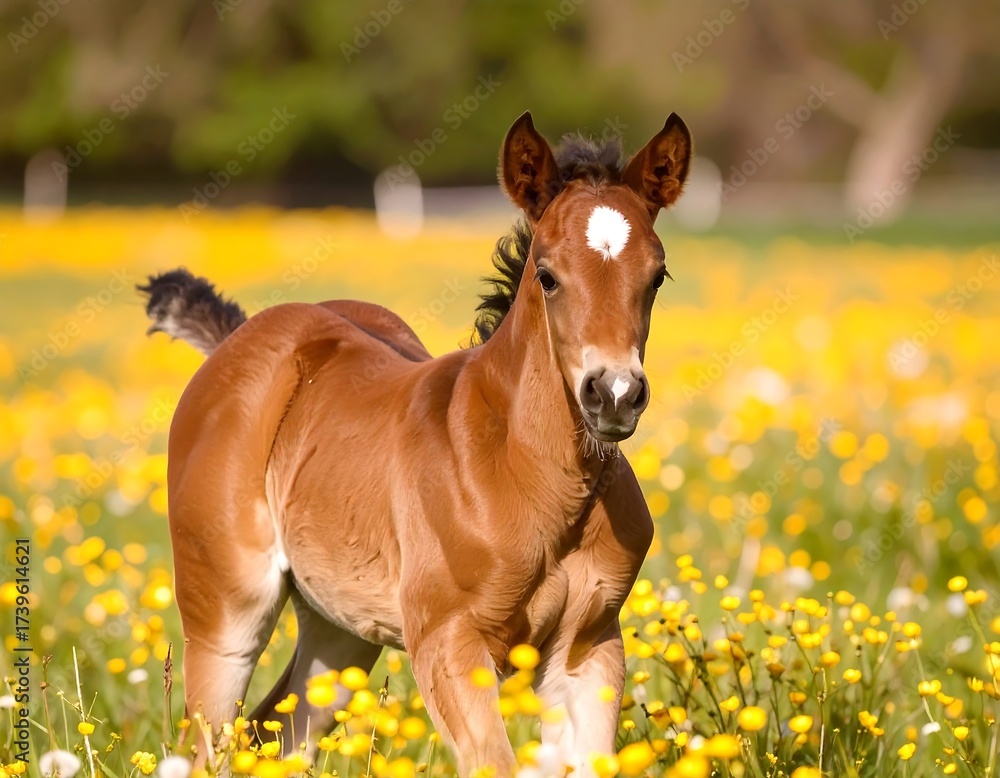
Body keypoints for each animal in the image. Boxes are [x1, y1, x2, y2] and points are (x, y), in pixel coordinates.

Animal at [139, 110, 691, 777]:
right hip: (226, 612)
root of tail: (237, 338)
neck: (537, 482)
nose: (613, 394)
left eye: (656, 277)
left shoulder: (588, 649)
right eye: (547, 275)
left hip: (341, 632)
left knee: (278, 733)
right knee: (210, 745)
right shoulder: (447, 643)